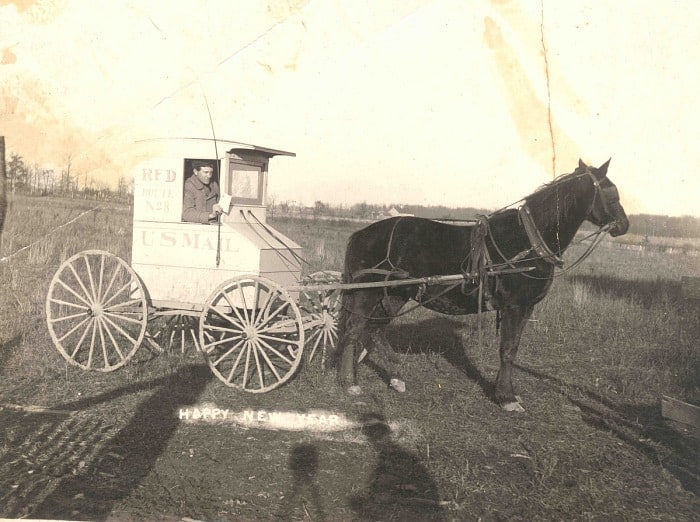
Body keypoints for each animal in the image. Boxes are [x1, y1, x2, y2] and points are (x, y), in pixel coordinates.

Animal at [334, 158, 628, 410]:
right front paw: (506, 397)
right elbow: (507, 350)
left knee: (375, 330)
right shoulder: (515, 306)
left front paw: (506, 393)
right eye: (612, 193)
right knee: (355, 329)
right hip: (367, 292)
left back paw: (395, 378)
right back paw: (349, 383)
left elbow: (513, 347)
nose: (624, 225)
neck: (529, 241)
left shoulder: (526, 308)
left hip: (394, 294)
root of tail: (362, 233)